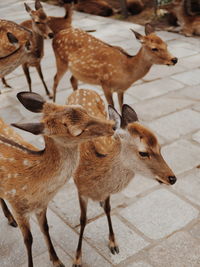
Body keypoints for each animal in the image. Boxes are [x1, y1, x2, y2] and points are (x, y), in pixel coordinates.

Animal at [0, 91, 115, 267]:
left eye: (83, 110)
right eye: (77, 131)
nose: (114, 125)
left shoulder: (42, 206)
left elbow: (46, 229)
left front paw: (56, 260)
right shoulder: (18, 206)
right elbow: (28, 240)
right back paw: (10, 219)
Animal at [66, 89, 177, 266]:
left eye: (160, 147)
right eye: (143, 152)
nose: (172, 178)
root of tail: (81, 89)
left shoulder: (106, 192)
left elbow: (108, 209)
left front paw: (113, 243)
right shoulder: (80, 190)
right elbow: (83, 220)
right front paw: (77, 259)